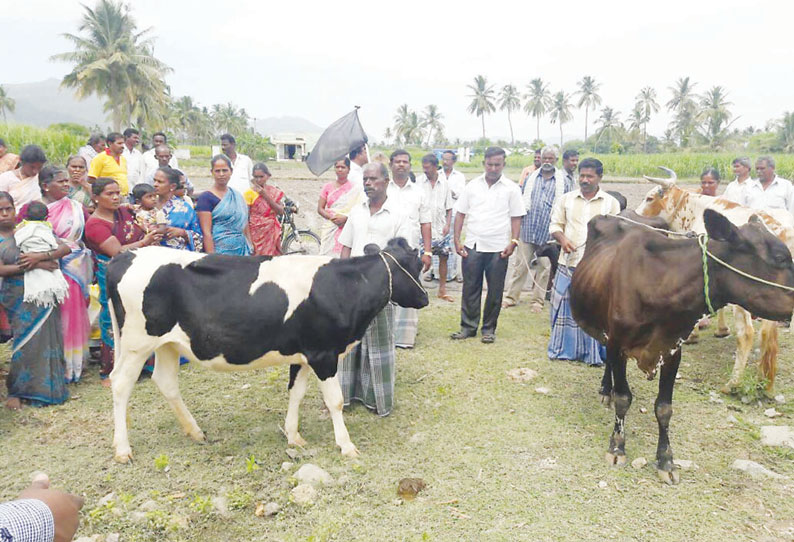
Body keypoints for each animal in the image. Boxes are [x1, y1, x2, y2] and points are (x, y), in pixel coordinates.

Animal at [106, 238, 426, 464]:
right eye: (416, 266)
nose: (424, 298)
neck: (344, 287)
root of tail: (125, 256)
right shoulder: (324, 354)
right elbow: (334, 401)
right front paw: (346, 445)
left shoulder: (304, 354)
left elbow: (296, 393)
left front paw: (294, 436)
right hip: (136, 344)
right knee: (120, 383)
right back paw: (122, 449)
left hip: (167, 344)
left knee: (166, 381)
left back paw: (195, 431)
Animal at [568, 210, 792, 486]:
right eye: (781, 258)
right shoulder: (618, 342)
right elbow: (623, 398)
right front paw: (617, 447)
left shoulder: (672, 350)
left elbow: (664, 408)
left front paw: (666, 460)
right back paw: (605, 389)